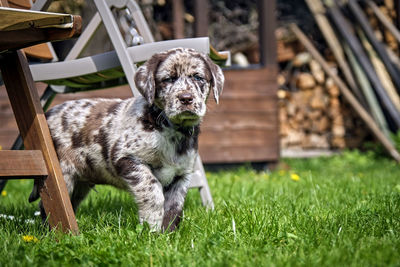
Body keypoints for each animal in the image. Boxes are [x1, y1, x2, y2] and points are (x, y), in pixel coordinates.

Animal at [30, 47, 225, 231]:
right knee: (47, 207)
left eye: (198, 77)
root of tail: (48, 114)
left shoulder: (181, 176)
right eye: (168, 79)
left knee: (69, 204)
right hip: (62, 175)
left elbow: (174, 209)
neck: (172, 130)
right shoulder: (126, 158)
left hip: (80, 183)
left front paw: (167, 236)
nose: (186, 99)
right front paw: (152, 228)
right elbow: (152, 190)